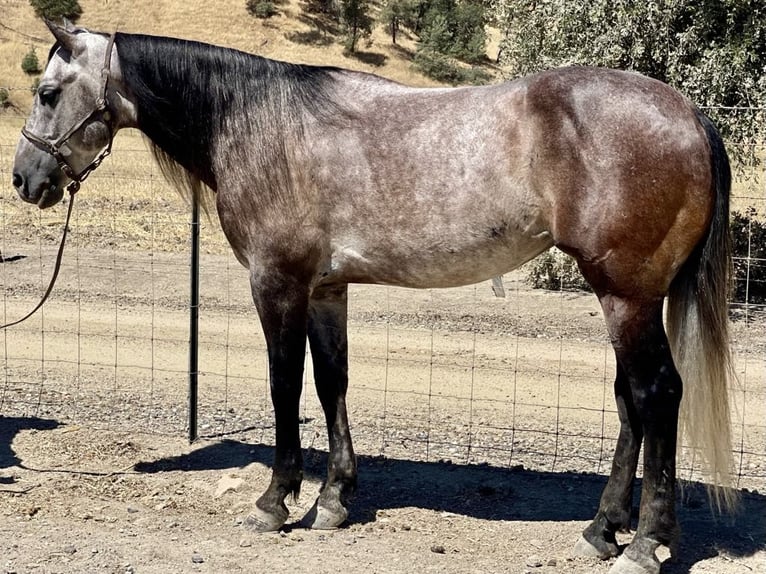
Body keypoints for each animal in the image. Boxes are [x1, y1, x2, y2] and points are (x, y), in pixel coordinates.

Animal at [10, 21, 736, 574]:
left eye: (48, 92)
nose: (23, 179)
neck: (263, 124)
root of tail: (690, 113)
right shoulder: (327, 289)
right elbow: (331, 382)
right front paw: (333, 500)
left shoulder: (277, 283)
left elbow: (284, 385)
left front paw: (274, 503)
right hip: (623, 297)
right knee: (629, 402)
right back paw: (601, 530)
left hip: (625, 295)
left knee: (655, 394)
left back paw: (644, 544)